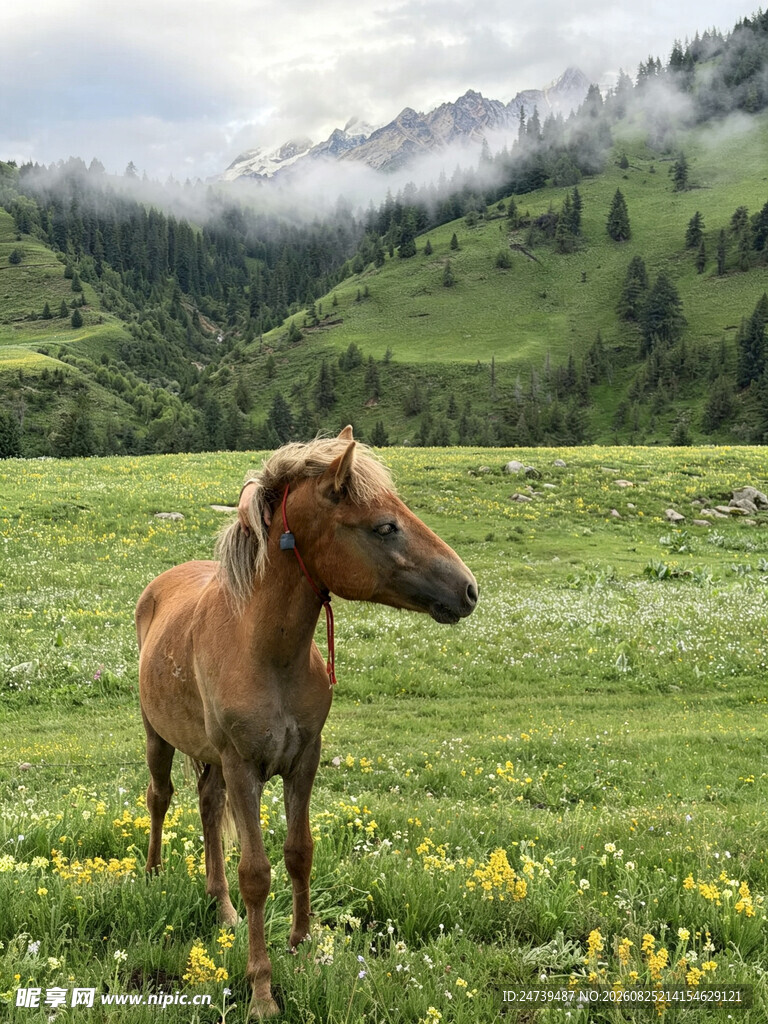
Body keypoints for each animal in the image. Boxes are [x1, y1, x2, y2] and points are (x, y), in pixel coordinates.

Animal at [135, 426, 478, 1018]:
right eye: (384, 526)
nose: (469, 590)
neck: (267, 652)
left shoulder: (304, 761)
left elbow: (300, 854)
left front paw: (303, 945)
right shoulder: (243, 767)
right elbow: (256, 874)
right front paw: (262, 993)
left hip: (211, 760)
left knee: (207, 809)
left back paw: (220, 908)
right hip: (160, 737)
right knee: (160, 798)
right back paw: (157, 874)